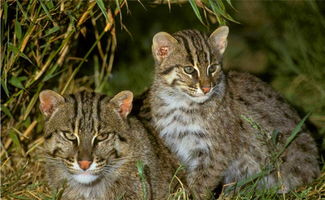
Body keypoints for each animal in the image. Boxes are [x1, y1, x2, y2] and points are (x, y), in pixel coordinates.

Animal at [142, 26, 318, 198]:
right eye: (189, 69)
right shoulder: (180, 148)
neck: (178, 102)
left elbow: (200, 184)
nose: (207, 88)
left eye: (212, 68)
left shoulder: (216, 153)